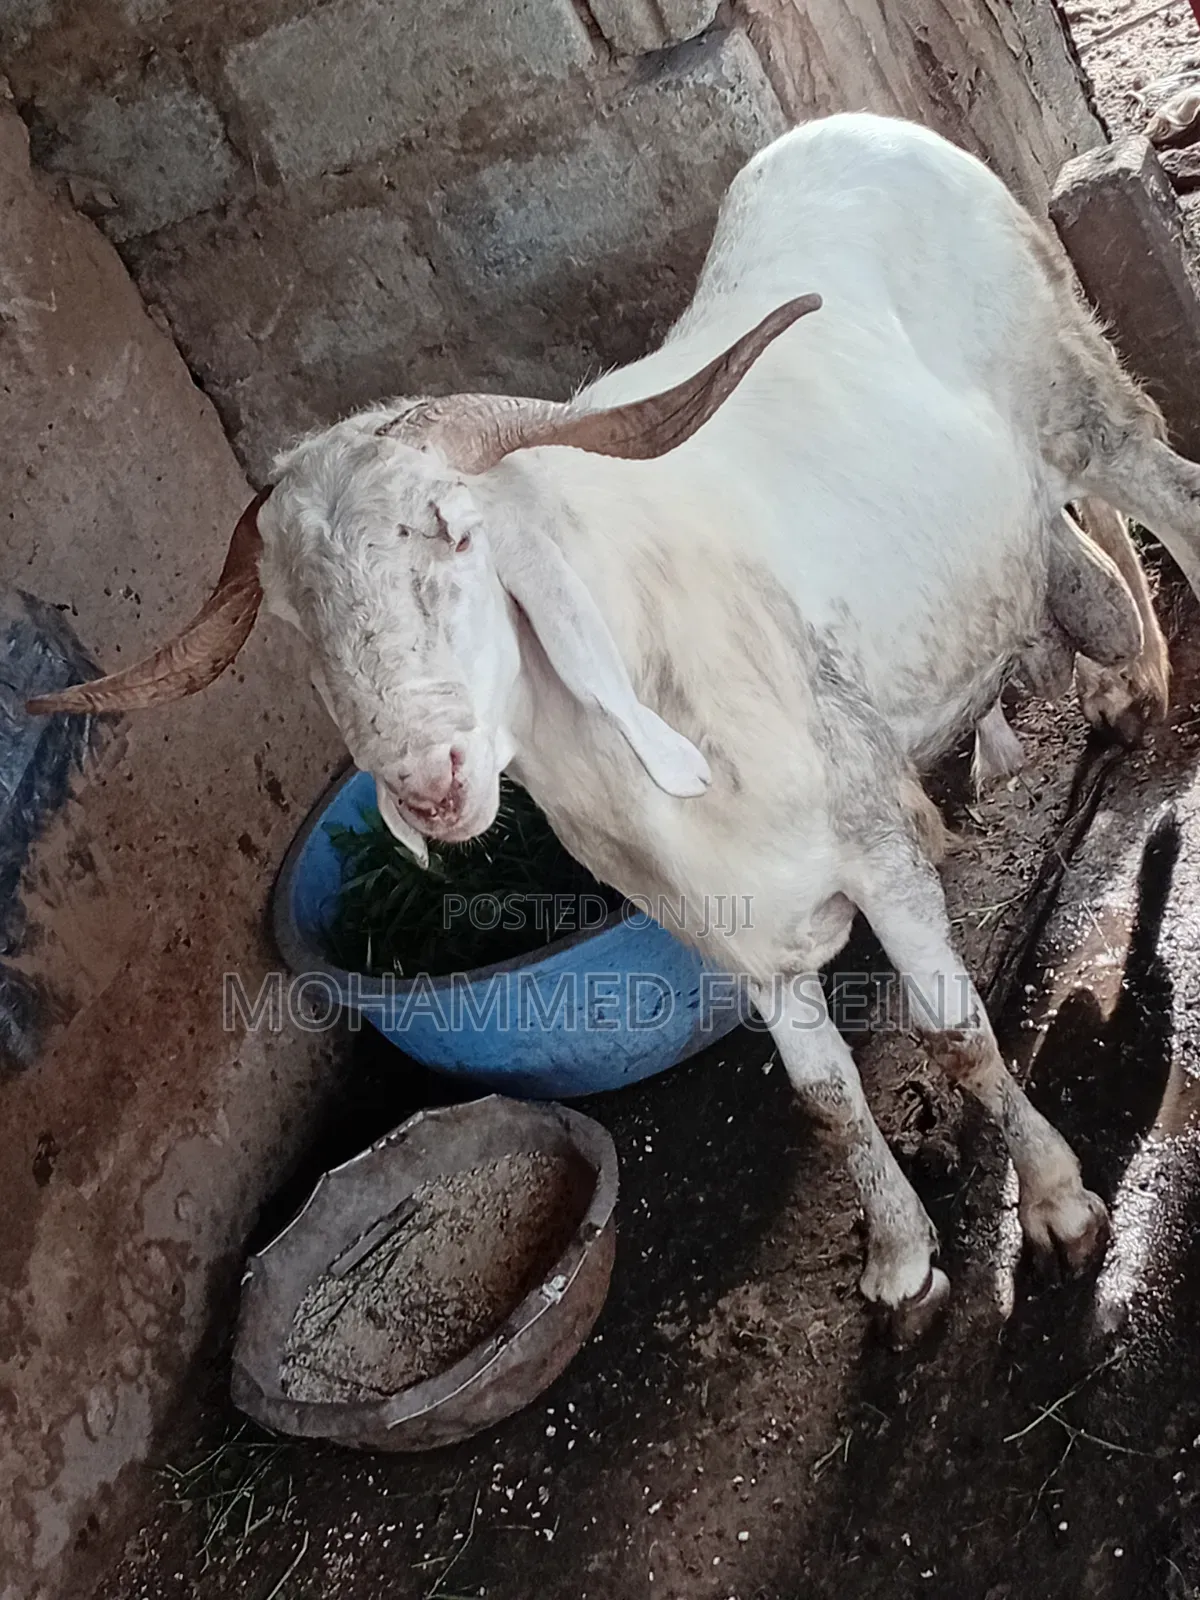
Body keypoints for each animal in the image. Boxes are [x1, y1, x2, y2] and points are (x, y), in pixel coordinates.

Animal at [30, 112, 1197, 1343]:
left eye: (456, 533)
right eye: (297, 621)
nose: (430, 778)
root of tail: (861, 127)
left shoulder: (876, 848)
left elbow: (955, 1034)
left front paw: (1057, 1208)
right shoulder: (731, 928)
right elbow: (825, 1095)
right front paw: (900, 1264)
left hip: (1074, 393)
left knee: (1169, 489)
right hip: (1022, 487)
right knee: (1078, 533)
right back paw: (1125, 690)